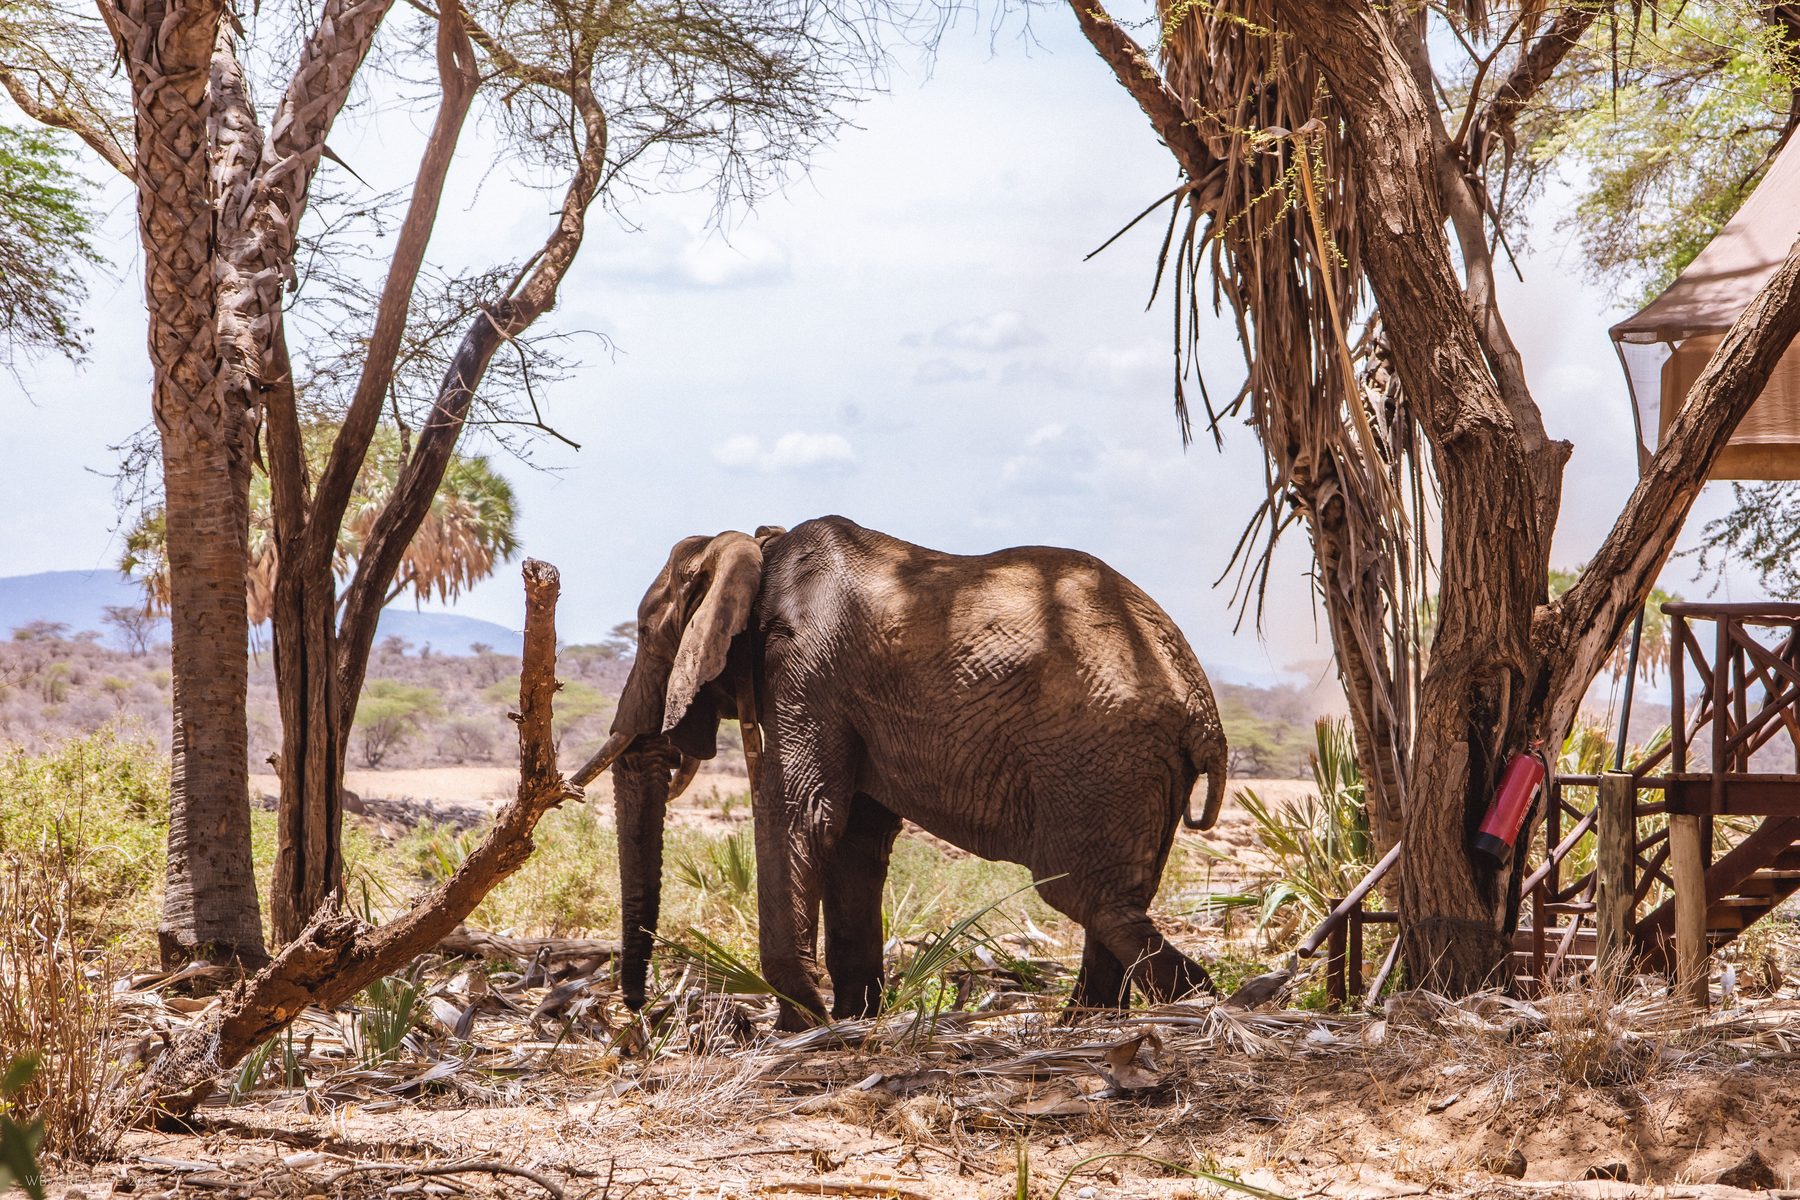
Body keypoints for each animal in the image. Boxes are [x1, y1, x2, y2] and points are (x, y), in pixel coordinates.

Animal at [574, 515, 1229, 1030]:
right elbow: (854, 841)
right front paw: (851, 1019)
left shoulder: (804, 670)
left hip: (1098, 761)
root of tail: (1204, 712)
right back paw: (1092, 1022)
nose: (636, 1008)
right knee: (1115, 900)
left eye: (644, 633)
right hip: (1137, 771)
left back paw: (1199, 1006)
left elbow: (800, 814)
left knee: (1084, 895)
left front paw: (801, 1026)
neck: (759, 547)